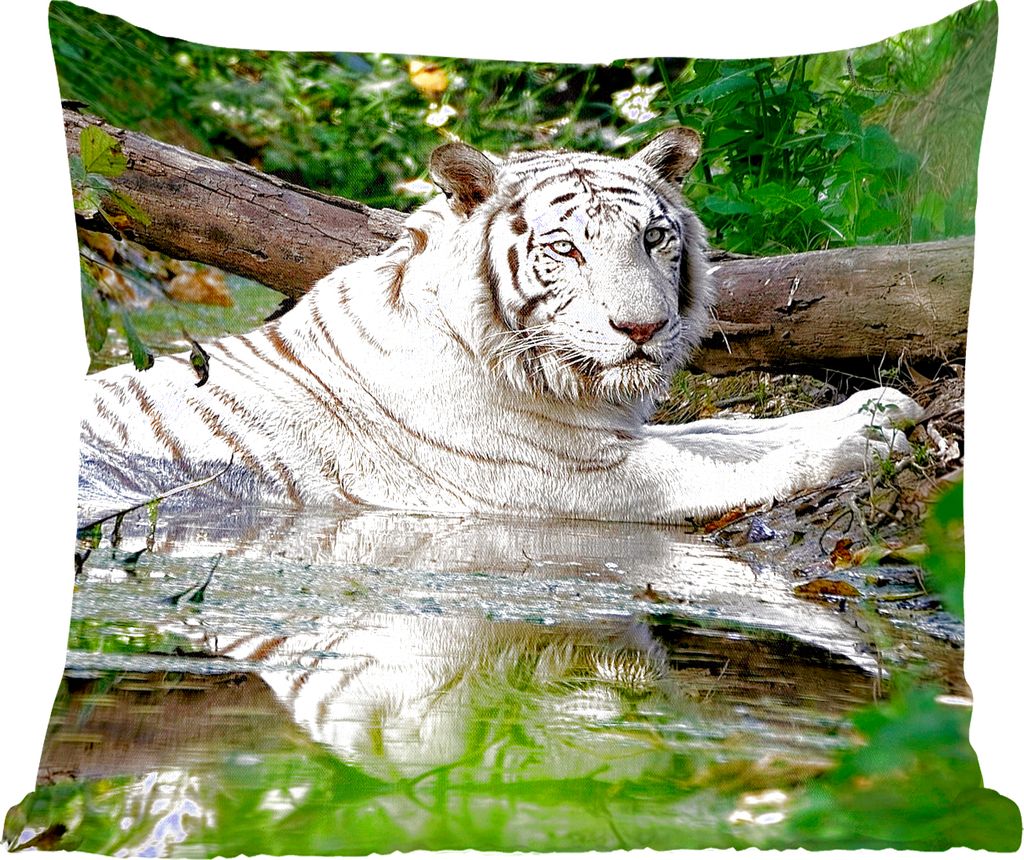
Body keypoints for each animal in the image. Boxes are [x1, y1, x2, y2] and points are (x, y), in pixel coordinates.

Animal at [78, 127, 922, 526]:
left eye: (654, 237)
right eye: (566, 249)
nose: (643, 328)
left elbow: (734, 433)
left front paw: (882, 408)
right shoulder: (579, 477)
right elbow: (727, 464)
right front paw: (862, 440)